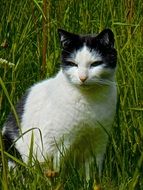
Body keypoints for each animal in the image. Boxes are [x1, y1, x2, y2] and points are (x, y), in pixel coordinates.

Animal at [1, 27, 117, 178]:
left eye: (95, 64)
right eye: (73, 64)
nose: (83, 78)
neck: (90, 102)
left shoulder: (99, 141)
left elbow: (91, 172)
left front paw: (90, 181)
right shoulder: (55, 144)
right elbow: (56, 169)